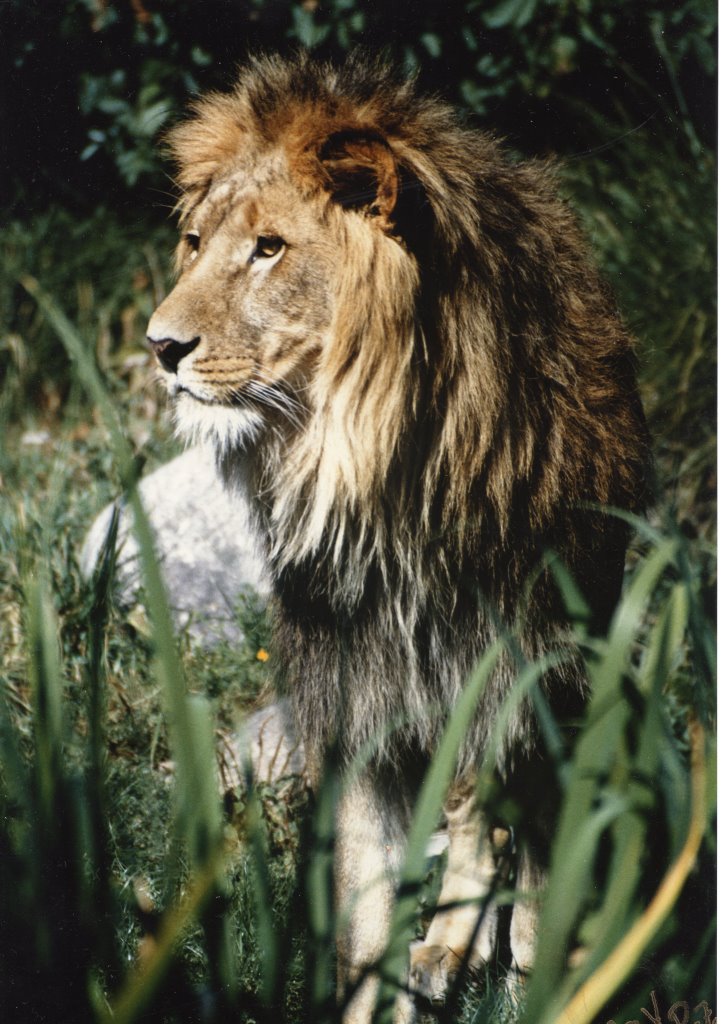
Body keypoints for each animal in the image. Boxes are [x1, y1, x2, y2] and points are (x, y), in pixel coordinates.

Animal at [147, 54, 651, 1024]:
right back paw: (445, 948)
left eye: (269, 249)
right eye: (194, 243)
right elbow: (364, 924)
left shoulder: (535, 677)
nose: (160, 347)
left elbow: (536, 883)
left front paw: (538, 976)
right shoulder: (356, 698)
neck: (384, 479)